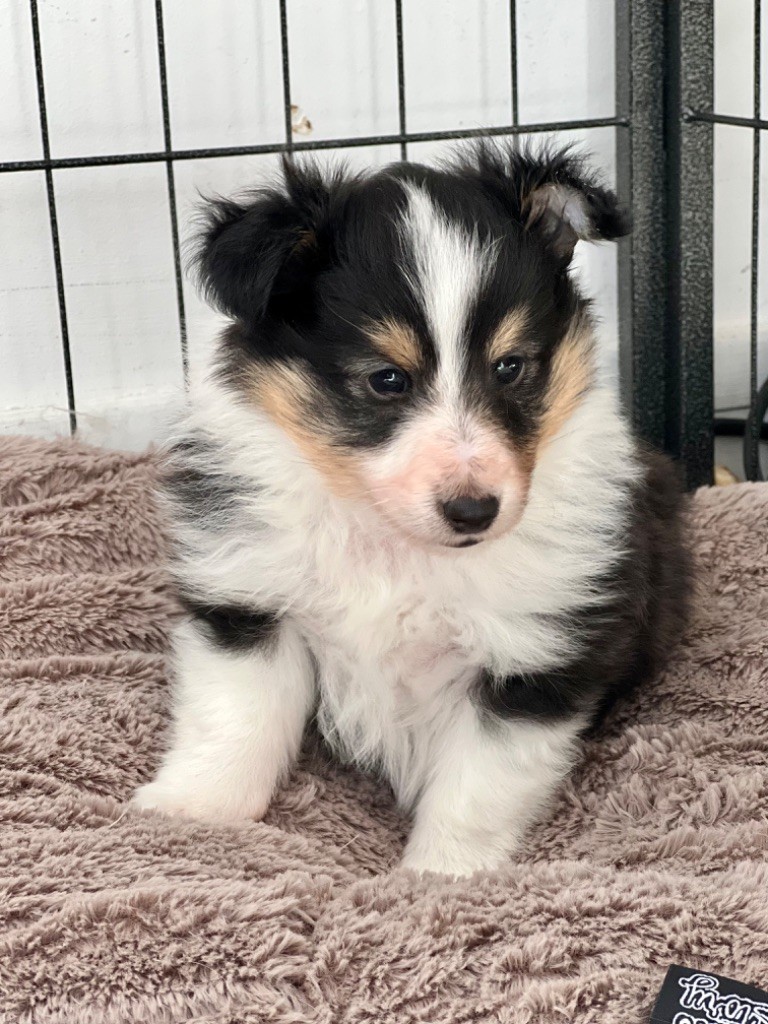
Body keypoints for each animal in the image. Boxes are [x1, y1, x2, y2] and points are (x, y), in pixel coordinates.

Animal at [134, 144, 692, 876]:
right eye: (386, 379)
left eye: (511, 366)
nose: (474, 510)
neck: (394, 546)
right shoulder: (252, 604)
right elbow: (233, 721)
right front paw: (191, 815)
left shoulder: (528, 659)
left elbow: (475, 788)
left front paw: (441, 878)